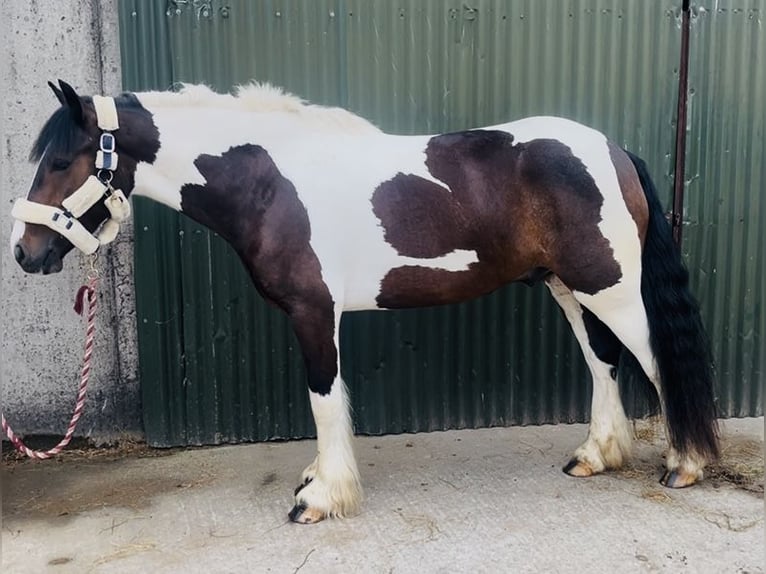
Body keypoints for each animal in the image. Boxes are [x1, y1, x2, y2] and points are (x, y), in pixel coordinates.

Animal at [10, 80, 718, 524]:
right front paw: (316, 481)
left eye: (64, 161)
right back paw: (595, 456)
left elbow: (324, 401)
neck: (272, 182)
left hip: (611, 289)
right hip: (572, 288)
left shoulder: (313, 315)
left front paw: (322, 497)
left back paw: (685, 466)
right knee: (603, 363)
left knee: (654, 362)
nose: (24, 252)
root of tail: (612, 150)